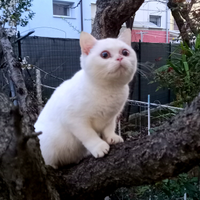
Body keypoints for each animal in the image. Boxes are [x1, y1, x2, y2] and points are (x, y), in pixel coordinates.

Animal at [34, 28, 138, 168]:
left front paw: (112, 137)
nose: (120, 57)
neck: (109, 89)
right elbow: (89, 135)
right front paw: (99, 146)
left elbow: (109, 128)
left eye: (125, 52)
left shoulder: (111, 117)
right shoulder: (74, 120)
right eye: (104, 54)